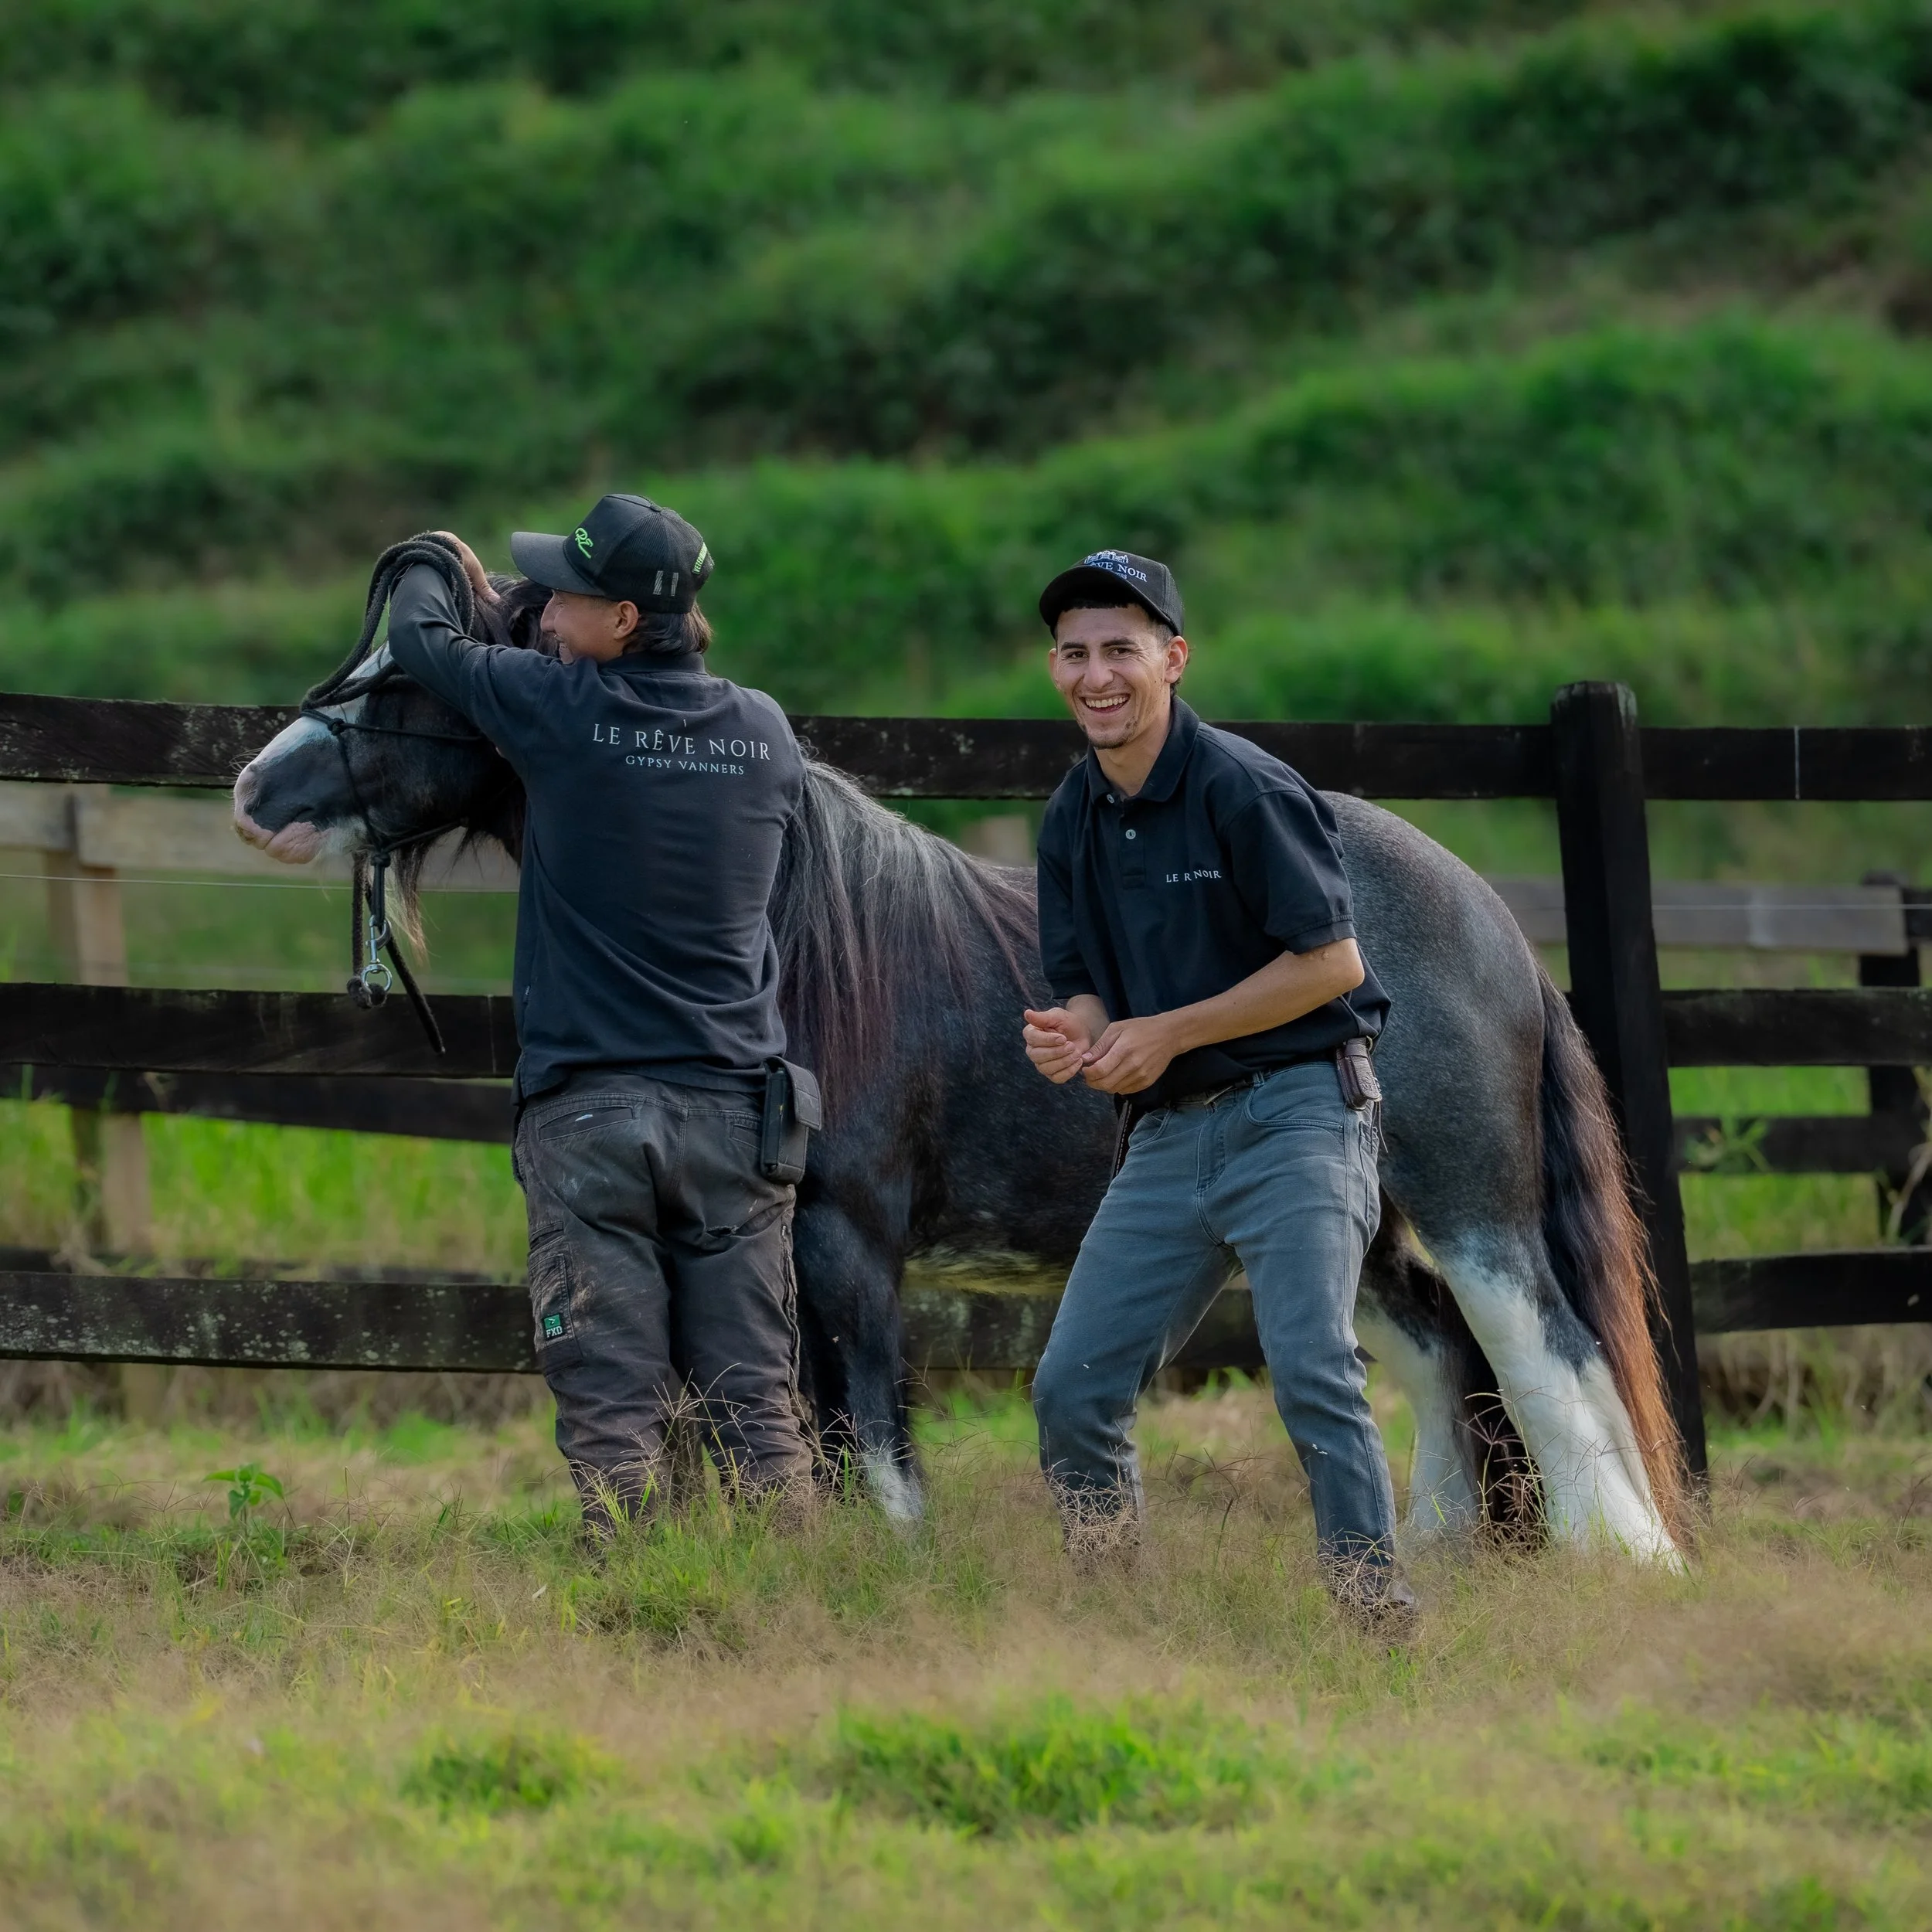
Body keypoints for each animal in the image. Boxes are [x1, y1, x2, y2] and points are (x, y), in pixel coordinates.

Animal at [231, 576, 1687, 1561]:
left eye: (409, 678)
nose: (251, 795)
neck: (798, 932)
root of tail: (1489, 917)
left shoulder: (850, 1239)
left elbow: (871, 1437)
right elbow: (790, 1427)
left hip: (1472, 1200)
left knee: (1548, 1354)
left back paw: (1621, 1563)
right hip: (1363, 1224)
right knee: (1443, 1354)